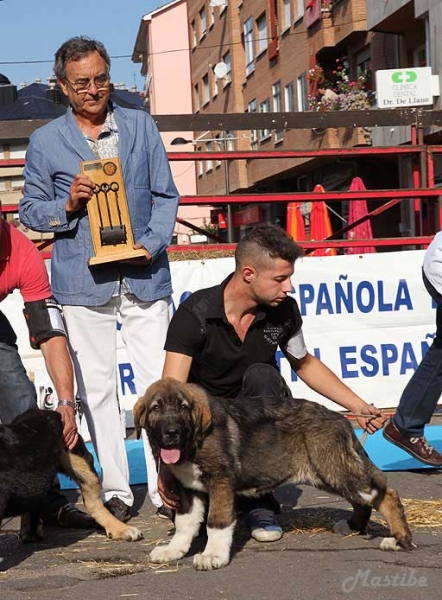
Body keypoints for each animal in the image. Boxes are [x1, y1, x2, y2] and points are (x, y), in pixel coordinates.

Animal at [134, 380, 410, 572]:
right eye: (156, 408)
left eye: (183, 408)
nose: (171, 433)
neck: (192, 443)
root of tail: (340, 418)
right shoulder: (187, 489)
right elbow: (185, 524)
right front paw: (173, 551)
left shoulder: (221, 481)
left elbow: (216, 522)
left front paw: (213, 556)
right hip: (329, 472)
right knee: (362, 498)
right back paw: (354, 526)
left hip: (333, 467)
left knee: (387, 495)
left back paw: (398, 540)